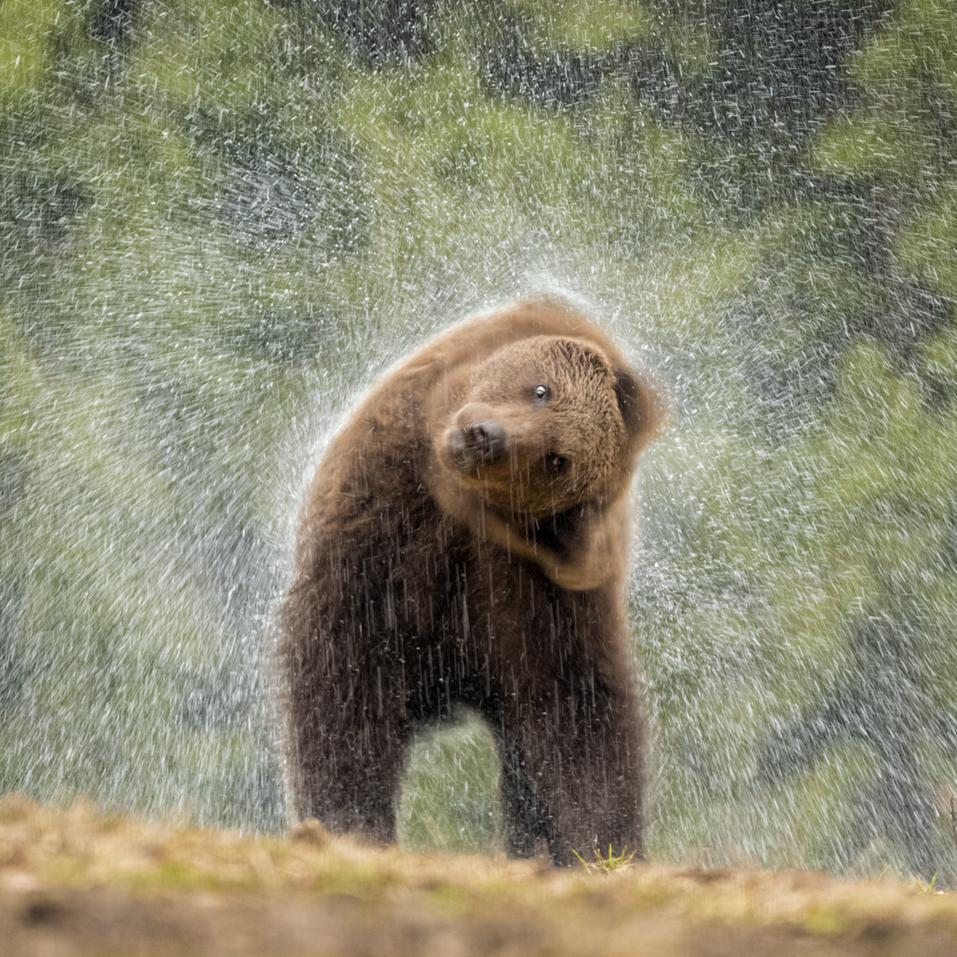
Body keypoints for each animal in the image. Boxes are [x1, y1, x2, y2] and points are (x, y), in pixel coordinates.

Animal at [280, 296, 660, 864]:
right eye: (541, 389)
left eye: (556, 459)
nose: (486, 437)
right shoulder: (382, 533)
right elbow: (346, 685)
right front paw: (351, 823)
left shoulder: (543, 595)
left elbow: (579, 718)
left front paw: (600, 847)